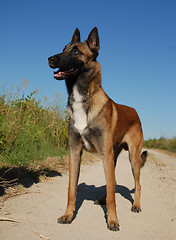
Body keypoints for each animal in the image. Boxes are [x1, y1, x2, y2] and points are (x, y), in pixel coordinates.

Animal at [48, 27, 147, 232]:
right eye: (64, 48)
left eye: (76, 51)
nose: (50, 59)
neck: (83, 98)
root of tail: (134, 111)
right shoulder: (75, 152)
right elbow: (71, 189)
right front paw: (68, 215)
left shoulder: (105, 155)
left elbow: (112, 195)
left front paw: (113, 220)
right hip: (112, 156)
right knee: (112, 184)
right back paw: (102, 199)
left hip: (132, 157)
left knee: (136, 184)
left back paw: (136, 205)